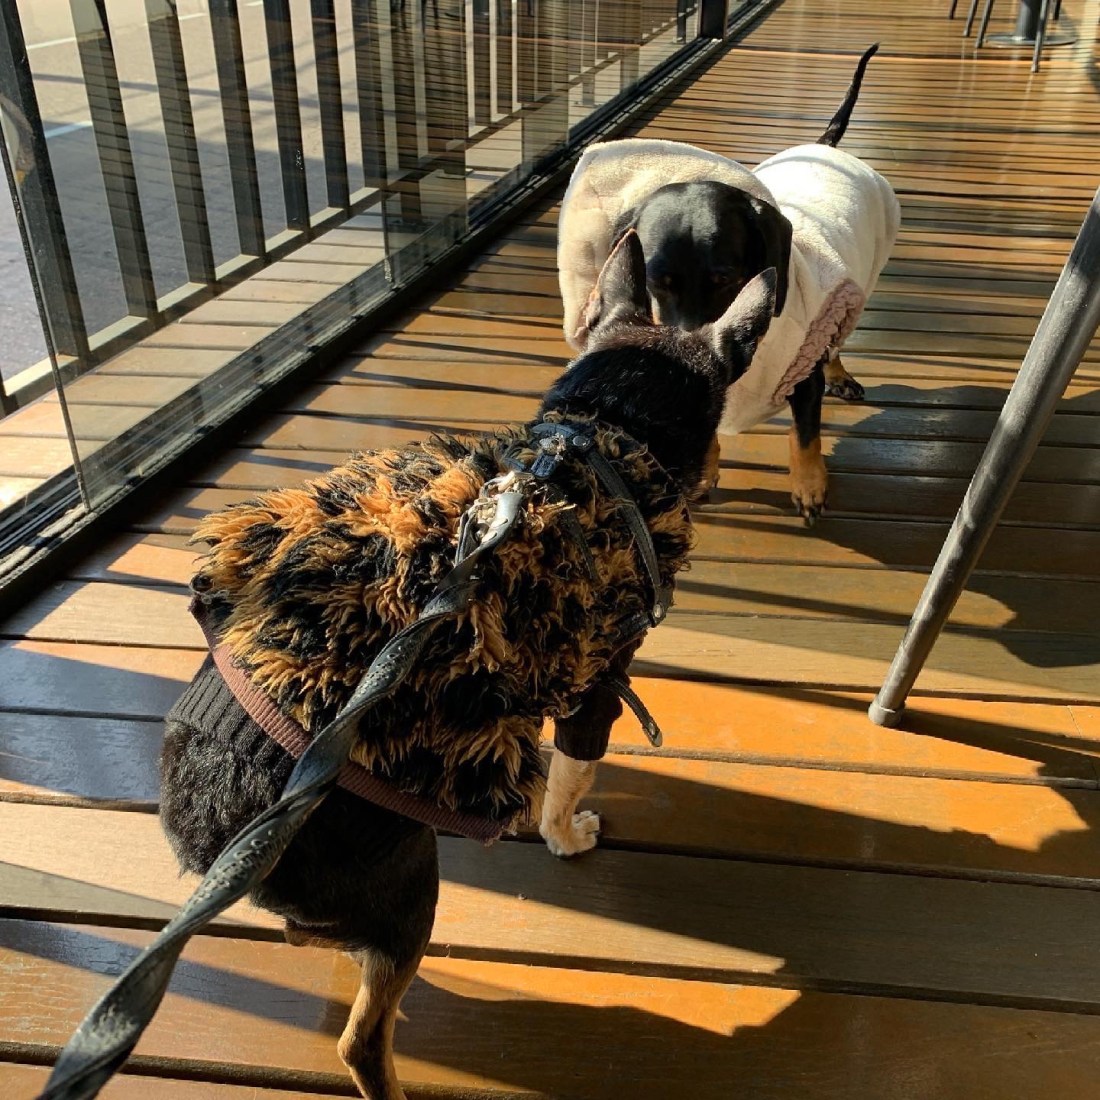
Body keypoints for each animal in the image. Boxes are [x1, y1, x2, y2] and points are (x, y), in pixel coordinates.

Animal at [159, 232, 776, 1100]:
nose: (721, 470)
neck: (605, 431)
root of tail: (214, 828)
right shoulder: (598, 683)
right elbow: (573, 776)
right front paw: (565, 834)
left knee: (307, 936)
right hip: (408, 886)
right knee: (362, 1033)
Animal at [558, 44, 900, 523]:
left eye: (725, 278)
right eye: (656, 280)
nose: (687, 358)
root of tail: (824, 148)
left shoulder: (803, 372)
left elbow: (805, 435)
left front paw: (810, 487)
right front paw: (705, 470)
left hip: (858, 284)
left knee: (838, 337)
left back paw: (840, 373)